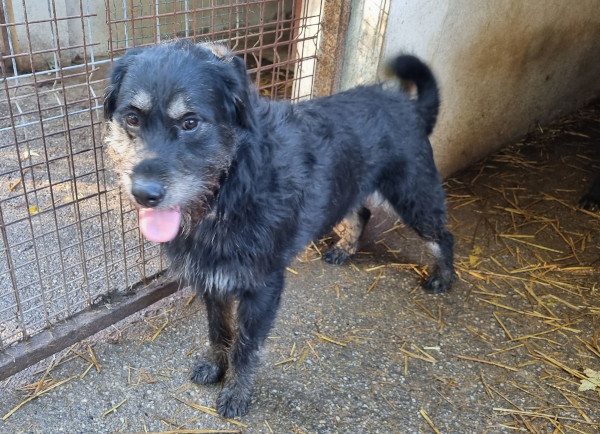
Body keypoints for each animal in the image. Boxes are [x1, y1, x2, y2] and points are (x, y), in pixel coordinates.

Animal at [103, 40, 455, 417]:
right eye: (132, 118)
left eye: (190, 122)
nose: (144, 193)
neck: (230, 190)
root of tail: (410, 107)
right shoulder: (211, 281)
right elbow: (218, 330)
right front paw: (215, 365)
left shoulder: (262, 287)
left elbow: (245, 347)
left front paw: (237, 392)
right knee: (360, 213)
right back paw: (345, 249)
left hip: (415, 197)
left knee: (443, 236)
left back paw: (443, 277)